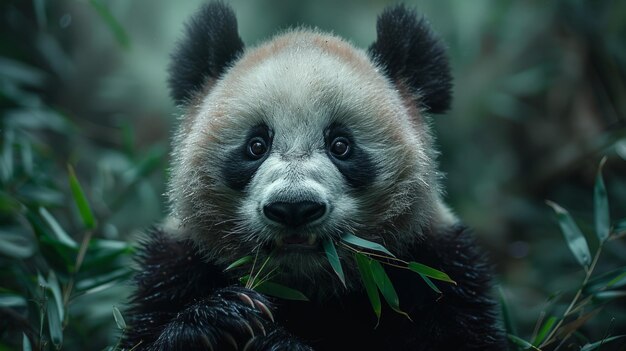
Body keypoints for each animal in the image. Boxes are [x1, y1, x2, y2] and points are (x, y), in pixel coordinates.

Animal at [122, 2, 508, 351]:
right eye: (256, 145)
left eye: (341, 145)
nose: (294, 208)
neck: (308, 286)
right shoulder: (175, 265)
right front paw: (221, 319)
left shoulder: (437, 270)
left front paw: (274, 342)